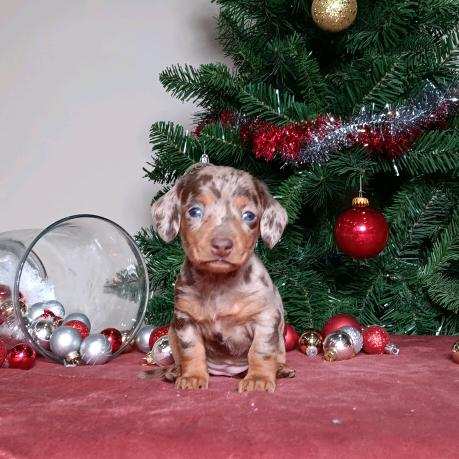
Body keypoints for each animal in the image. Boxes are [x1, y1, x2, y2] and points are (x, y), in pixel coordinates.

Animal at [151, 164, 294, 392]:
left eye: (249, 215)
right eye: (194, 211)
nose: (222, 245)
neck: (218, 284)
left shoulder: (265, 319)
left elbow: (260, 351)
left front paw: (258, 379)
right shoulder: (185, 321)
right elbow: (192, 351)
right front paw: (192, 376)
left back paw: (280, 370)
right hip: (172, 332)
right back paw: (175, 371)